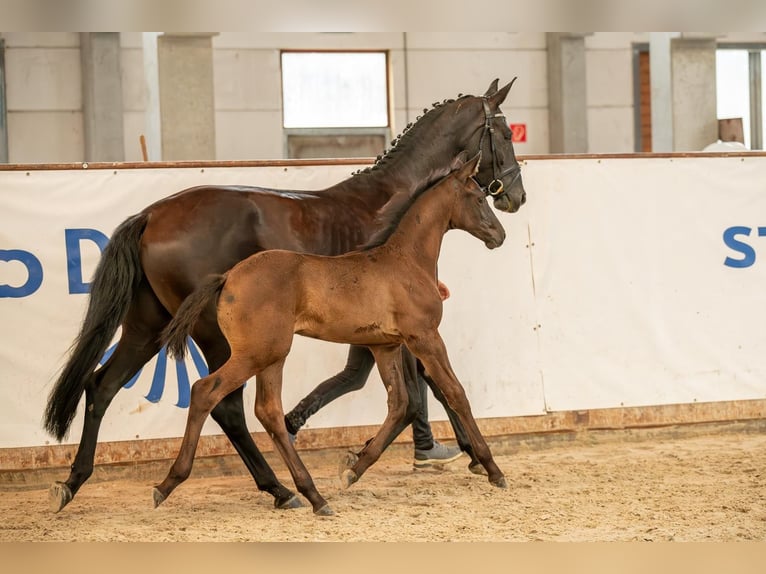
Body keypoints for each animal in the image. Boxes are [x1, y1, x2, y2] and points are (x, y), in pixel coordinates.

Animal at [160, 154, 510, 516]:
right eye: (479, 198)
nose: (499, 235)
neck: (406, 261)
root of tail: (228, 277)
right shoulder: (425, 338)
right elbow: (455, 394)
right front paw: (493, 469)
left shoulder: (384, 346)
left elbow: (399, 403)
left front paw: (354, 469)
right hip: (256, 353)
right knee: (205, 391)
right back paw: (170, 483)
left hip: (273, 355)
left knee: (268, 411)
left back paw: (310, 494)